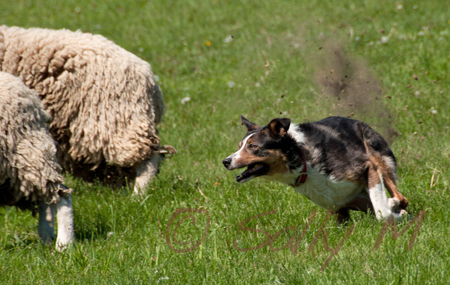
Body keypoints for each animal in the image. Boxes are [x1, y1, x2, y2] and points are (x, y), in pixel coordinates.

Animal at [223, 115, 410, 222]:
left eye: (252, 146)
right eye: (240, 146)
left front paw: (391, 209)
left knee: (401, 198)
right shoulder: (337, 205)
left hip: (377, 157)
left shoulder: (367, 167)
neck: (303, 161)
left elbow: (382, 213)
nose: (226, 161)